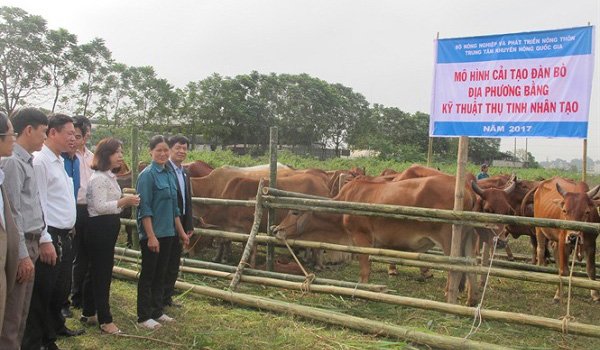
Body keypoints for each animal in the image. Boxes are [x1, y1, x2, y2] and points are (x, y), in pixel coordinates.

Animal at [274, 175, 480, 306]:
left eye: (295, 212)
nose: (277, 230)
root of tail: (468, 191)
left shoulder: (362, 238)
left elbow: (365, 269)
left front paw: (363, 294)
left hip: (450, 240)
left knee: (454, 269)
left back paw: (448, 296)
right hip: (468, 239)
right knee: (471, 267)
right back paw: (471, 300)